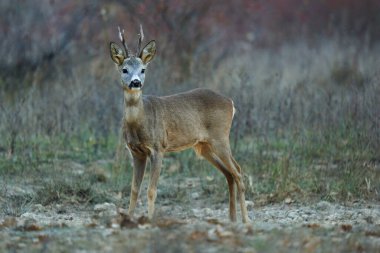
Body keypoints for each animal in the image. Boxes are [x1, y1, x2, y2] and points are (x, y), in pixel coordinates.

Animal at [108, 26, 251, 223]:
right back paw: (232, 218)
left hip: (220, 137)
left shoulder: (158, 147)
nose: (135, 82)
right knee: (229, 174)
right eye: (124, 69)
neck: (139, 122)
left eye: (143, 69)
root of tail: (230, 102)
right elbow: (134, 189)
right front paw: (128, 219)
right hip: (203, 146)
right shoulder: (136, 152)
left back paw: (245, 220)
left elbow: (151, 190)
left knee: (238, 171)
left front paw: (150, 220)